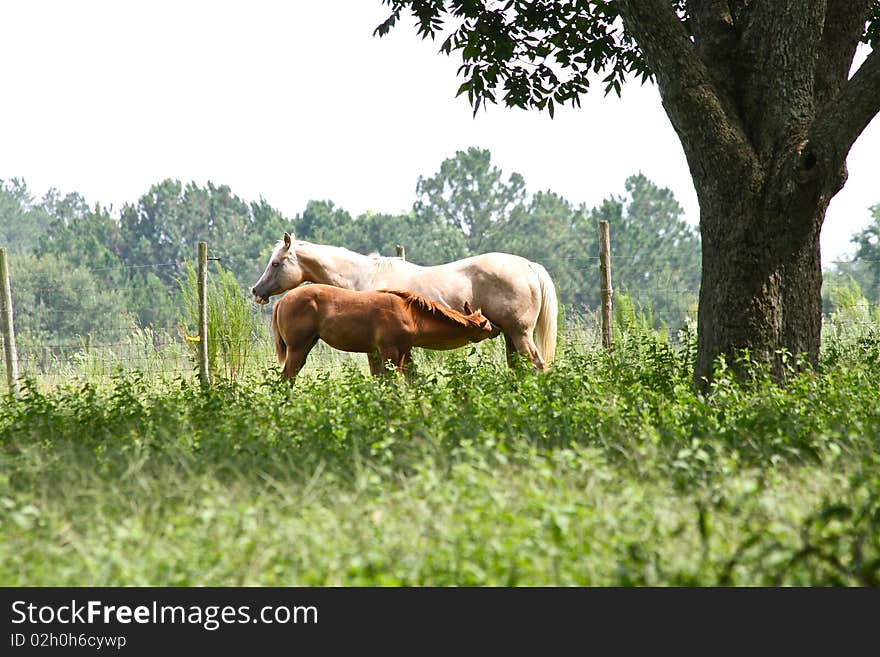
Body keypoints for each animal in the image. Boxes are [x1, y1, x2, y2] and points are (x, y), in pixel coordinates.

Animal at [253, 233, 556, 372]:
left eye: (276, 263)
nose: (257, 290)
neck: (364, 277)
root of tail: (529, 266)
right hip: (510, 336)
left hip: (520, 334)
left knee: (537, 365)